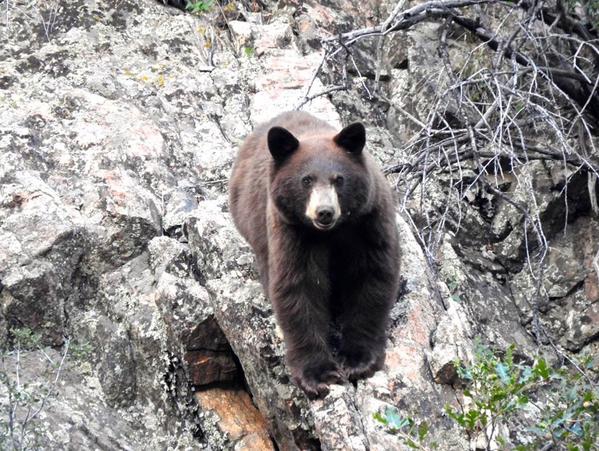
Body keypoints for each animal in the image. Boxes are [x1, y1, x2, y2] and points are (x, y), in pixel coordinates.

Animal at [227, 112, 400, 400]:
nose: (324, 212)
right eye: (306, 180)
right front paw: (319, 375)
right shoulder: (293, 233)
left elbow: (371, 277)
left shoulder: (368, 222)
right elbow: (300, 288)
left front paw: (359, 360)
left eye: (339, 179)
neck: (333, 232)